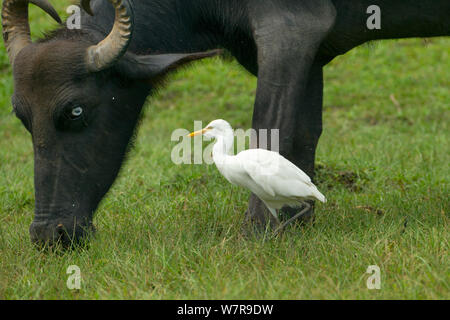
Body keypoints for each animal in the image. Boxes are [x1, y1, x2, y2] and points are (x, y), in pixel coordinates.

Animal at [1, 0, 448, 246]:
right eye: (21, 115)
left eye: (76, 111)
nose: (50, 235)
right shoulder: (309, 55)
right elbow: (304, 133)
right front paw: (296, 224)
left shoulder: (292, 29)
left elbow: (272, 123)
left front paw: (256, 232)